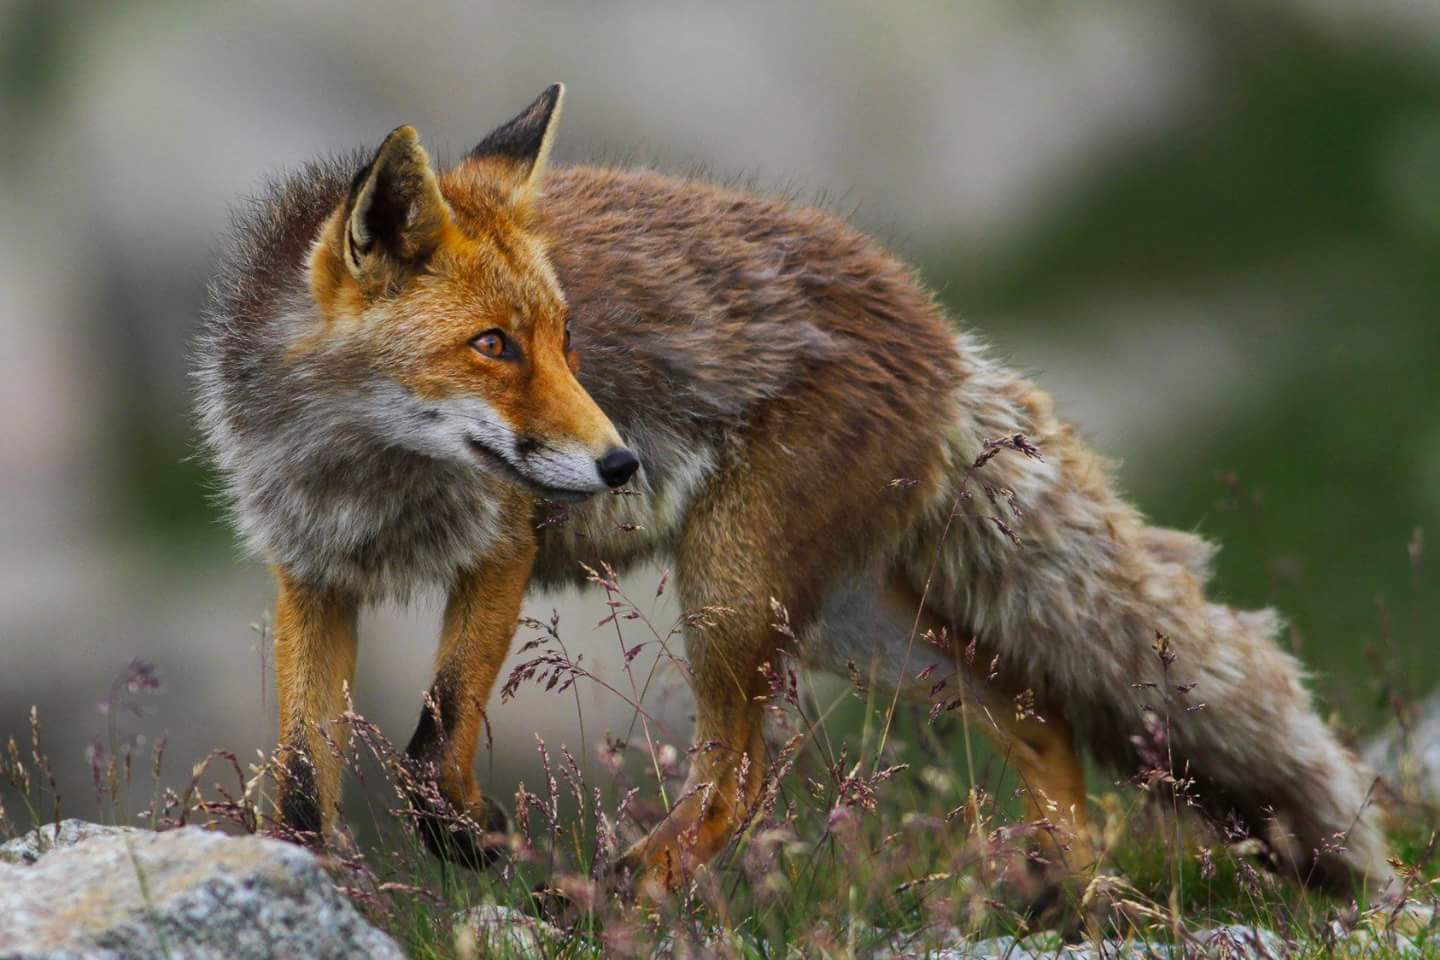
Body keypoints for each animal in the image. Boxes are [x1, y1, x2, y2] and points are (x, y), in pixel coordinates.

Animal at [196, 84, 1401, 910]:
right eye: (492, 346)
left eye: (568, 341)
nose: (619, 463)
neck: (363, 471)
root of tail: (940, 336)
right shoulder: (311, 580)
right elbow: (298, 786)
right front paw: (300, 881)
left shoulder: (499, 550)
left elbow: (429, 756)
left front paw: (477, 844)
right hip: (847, 629)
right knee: (1035, 709)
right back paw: (1063, 884)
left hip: (731, 597)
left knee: (745, 780)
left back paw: (615, 893)